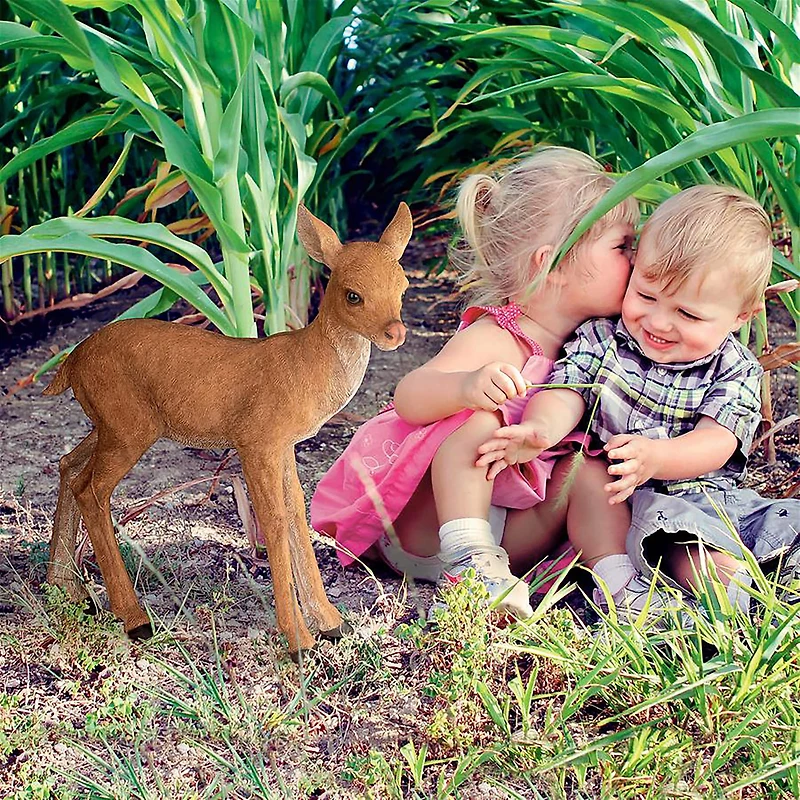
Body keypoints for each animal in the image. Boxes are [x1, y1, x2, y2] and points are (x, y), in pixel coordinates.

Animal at [43, 203, 412, 658]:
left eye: (403, 287)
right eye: (353, 294)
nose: (395, 332)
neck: (307, 364)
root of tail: (72, 362)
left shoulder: (284, 446)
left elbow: (296, 515)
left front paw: (331, 624)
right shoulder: (256, 440)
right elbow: (273, 520)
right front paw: (298, 641)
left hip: (110, 424)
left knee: (67, 465)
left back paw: (68, 590)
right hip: (128, 428)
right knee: (91, 489)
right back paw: (135, 619)